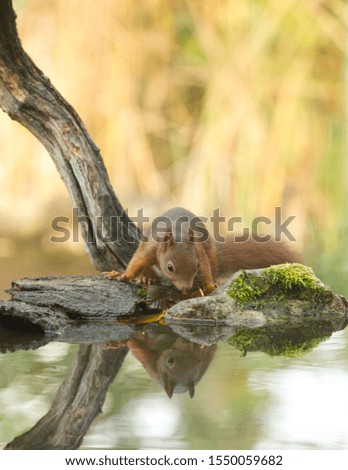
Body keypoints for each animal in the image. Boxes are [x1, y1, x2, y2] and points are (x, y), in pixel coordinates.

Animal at [106, 207, 302, 292]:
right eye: (170, 267)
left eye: (196, 266)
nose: (185, 288)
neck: (178, 233)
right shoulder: (151, 247)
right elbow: (137, 261)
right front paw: (121, 276)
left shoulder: (199, 251)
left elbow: (206, 268)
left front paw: (209, 285)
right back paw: (147, 278)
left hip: (212, 256)